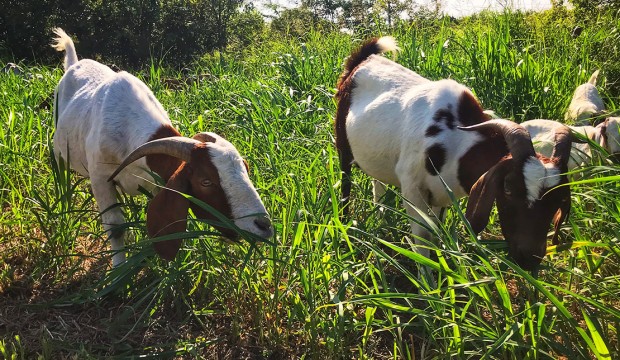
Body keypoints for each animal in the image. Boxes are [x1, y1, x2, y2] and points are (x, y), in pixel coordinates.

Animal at [52, 28, 274, 266]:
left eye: (246, 170)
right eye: (205, 181)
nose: (263, 226)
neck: (127, 126)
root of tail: (75, 63)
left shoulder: (157, 182)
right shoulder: (101, 178)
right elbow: (115, 228)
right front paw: (118, 268)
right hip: (59, 152)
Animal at [336, 38, 572, 272]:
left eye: (559, 198)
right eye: (508, 188)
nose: (529, 258)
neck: (456, 142)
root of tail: (361, 60)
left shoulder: (441, 194)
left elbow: (436, 230)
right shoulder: (412, 186)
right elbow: (423, 236)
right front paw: (427, 277)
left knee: (378, 184)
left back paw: (381, 220)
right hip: (342, 146)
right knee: (345, 184)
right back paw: (346, 227)